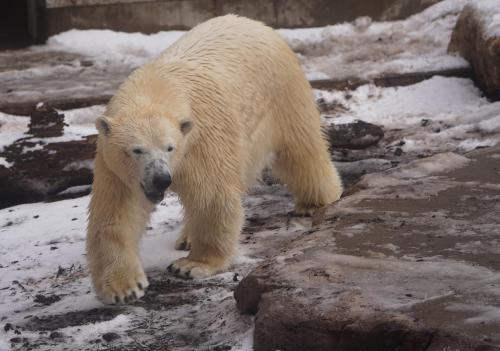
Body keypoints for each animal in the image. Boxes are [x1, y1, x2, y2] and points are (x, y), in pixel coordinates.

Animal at [87, 15, 344, 304]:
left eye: (169, 148)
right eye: (136, 150)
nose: (162, 179)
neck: (159, 84)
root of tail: (256, 24)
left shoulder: (201, 141)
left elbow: (212, 197)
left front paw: (192, 265)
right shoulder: (115, 167)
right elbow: (115, 215)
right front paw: (124, 288)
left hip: (283, 93)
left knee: (301, 148)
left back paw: (315, 202)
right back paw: (186, 237)